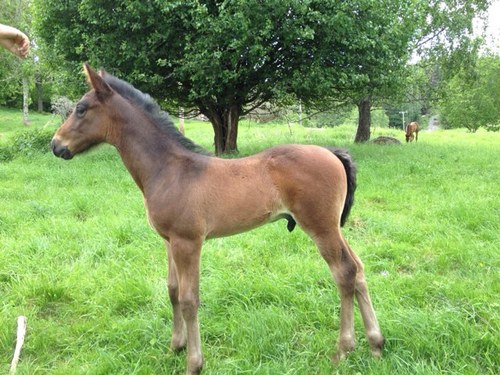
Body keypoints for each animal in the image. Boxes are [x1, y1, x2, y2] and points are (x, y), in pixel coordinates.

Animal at [51, 65, 382, 375]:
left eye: (81, 108)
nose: (56, 145)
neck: (169, 170)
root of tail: (333, 153)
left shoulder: (188, 242)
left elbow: (189, 299)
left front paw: (194, 363)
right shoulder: (169, 241)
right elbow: (172, 291)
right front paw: (175, 346)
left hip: (320, 227)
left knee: (344, 273)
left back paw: (343, 350)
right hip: (333, 227)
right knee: (359, 269)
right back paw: (376, 344)